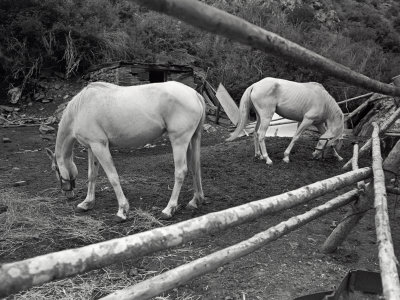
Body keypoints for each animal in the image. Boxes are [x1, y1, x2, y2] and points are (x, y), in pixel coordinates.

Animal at [45, 81, 205, 221]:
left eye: (55, 169)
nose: (67, 194)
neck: (80, 108)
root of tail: (195, 94)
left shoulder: (99, 146)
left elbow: (113, 177)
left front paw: (122, 211)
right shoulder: (92, 147)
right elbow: (92, 175)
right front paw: (86, 203)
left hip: (179, 141)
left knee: (180, 172)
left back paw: (168, 209)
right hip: (193, 139)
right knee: (195, 167)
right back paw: (195, 201)